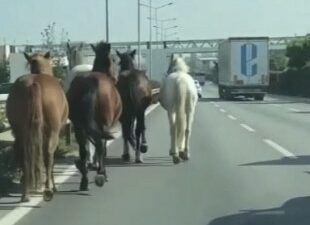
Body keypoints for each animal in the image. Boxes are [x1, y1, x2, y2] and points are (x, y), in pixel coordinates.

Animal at [6, 51, 68, 202]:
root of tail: (33, 83)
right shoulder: (57, 132)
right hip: (52, 132)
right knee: (49, 155)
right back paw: (48, 189)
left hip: (21, 132)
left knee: (24, 156)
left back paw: (25, 193)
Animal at [67, 41, 122, 190]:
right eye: (114, 60)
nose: (116, 78)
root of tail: (90, 83)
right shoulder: (107, 126)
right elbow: (102, 146)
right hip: (103, 123)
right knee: (99, 144)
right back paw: (100, 175)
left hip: (79, 125)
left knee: (83, 148)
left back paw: (84, 179)